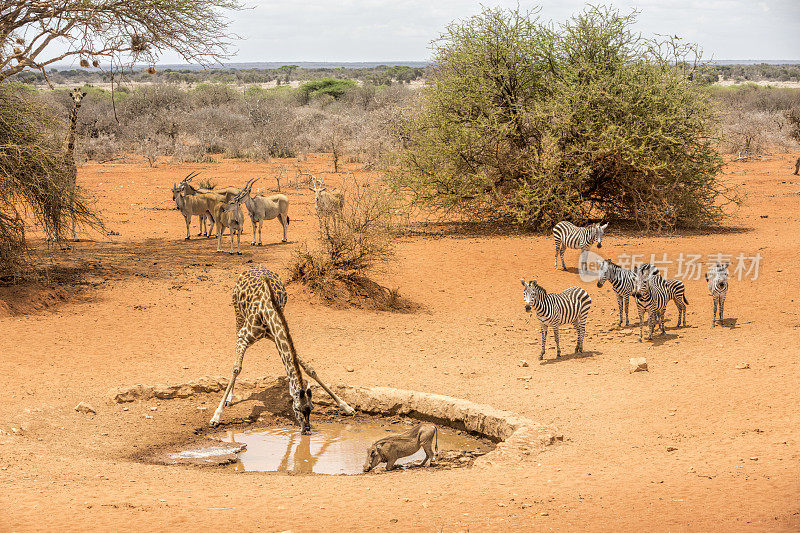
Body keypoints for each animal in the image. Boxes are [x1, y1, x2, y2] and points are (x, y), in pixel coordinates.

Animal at [209, 266, 354, 428]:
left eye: (311, 408)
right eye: (297, 408)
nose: (306, 429)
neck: (268, 310)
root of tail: (255, 267)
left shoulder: (277, 335)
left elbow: (309, 369)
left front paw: (346, 406)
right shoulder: (243, 337)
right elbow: (236, 368)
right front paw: (216, 416)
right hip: (238, 313)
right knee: (236, 355)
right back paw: (229, 399)